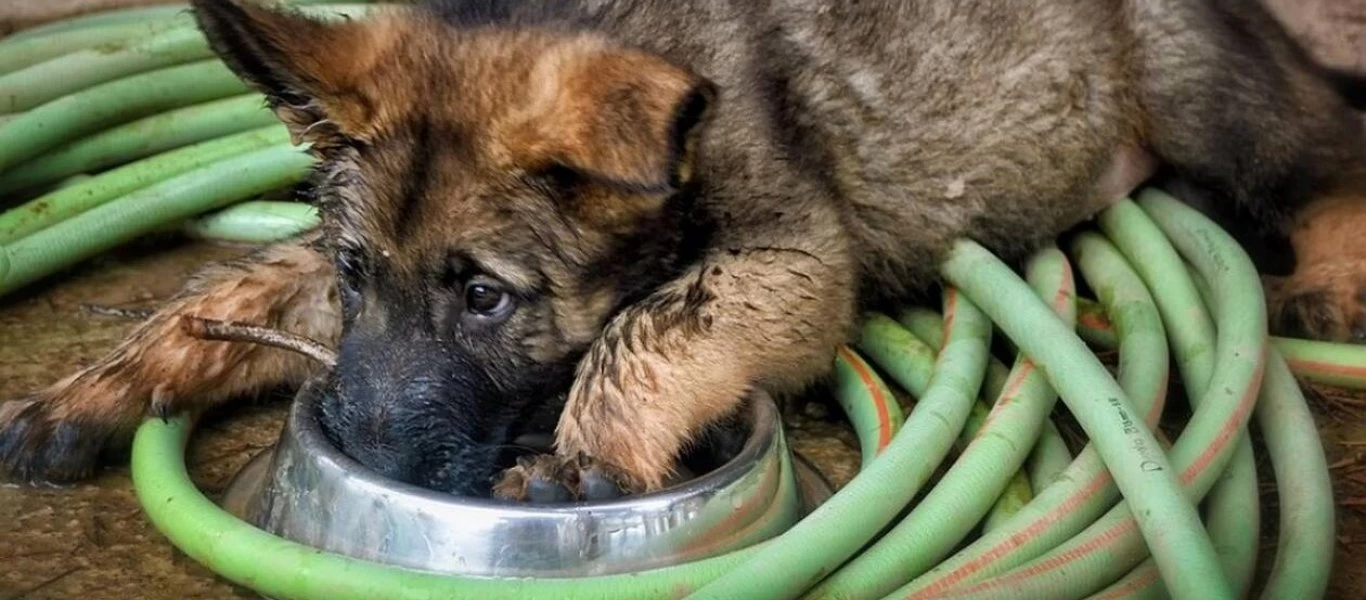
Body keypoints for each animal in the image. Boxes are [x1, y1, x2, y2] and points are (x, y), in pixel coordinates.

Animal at [2, 0, 1366, 500]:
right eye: (352, 276)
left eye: (487, 298)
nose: (370, 457)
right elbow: (226, 285)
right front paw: (93, 393)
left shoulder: (794, 259)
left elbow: (651, 325)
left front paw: (580, 459)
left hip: (1203, 100)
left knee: (1325, 153)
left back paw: (1329, 278)